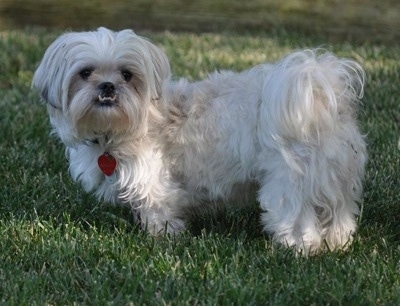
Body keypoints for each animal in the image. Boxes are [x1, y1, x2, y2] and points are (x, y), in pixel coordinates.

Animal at [32, 28, 368, 253]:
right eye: (85, 72)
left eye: (127, 74)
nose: (107, 86)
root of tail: (320, 93)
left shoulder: (154, 181)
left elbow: (158, 211)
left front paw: (161, 238)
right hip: (335, 176)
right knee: (340, 213)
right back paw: (337, 243)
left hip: (289, 180)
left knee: (297, 216)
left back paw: (298, 247)